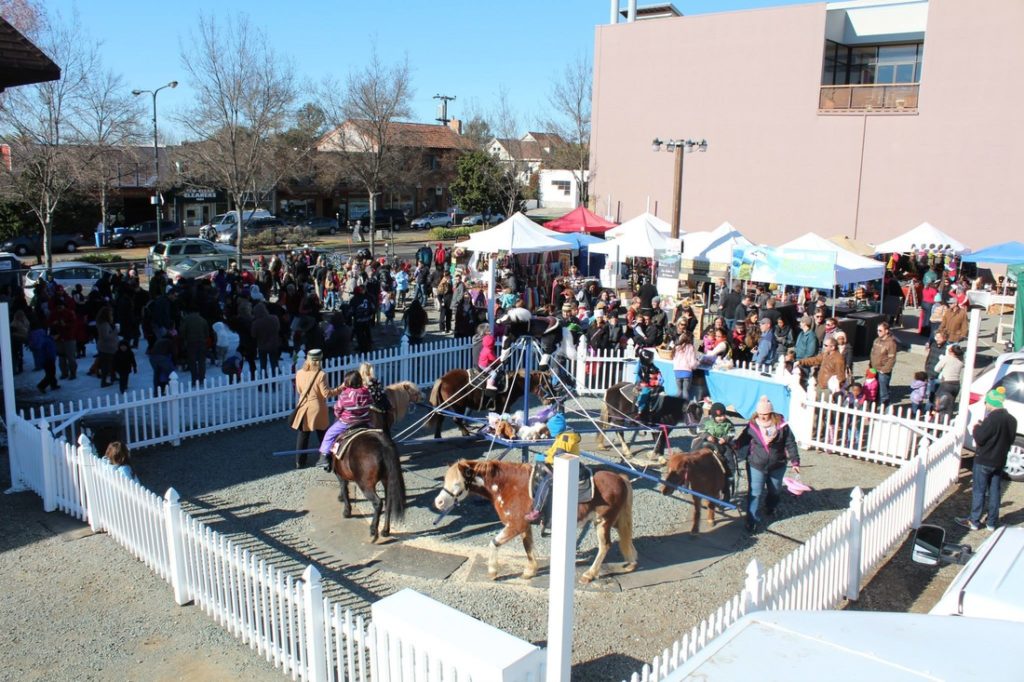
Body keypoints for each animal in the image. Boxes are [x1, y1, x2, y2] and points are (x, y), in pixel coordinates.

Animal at [434, 456, 638, 577]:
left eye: (457, 483)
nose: (439, 502)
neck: (508, 486)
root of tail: (620, 478)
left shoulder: (515, 525)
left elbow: (494, 543)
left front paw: (492, 571)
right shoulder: (524, 526)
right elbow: (528, 547)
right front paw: (530, 570)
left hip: (603, 522)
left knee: (605, 546)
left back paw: (590, 574)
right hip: (614, 520)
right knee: (625, 538)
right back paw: (632, 562)